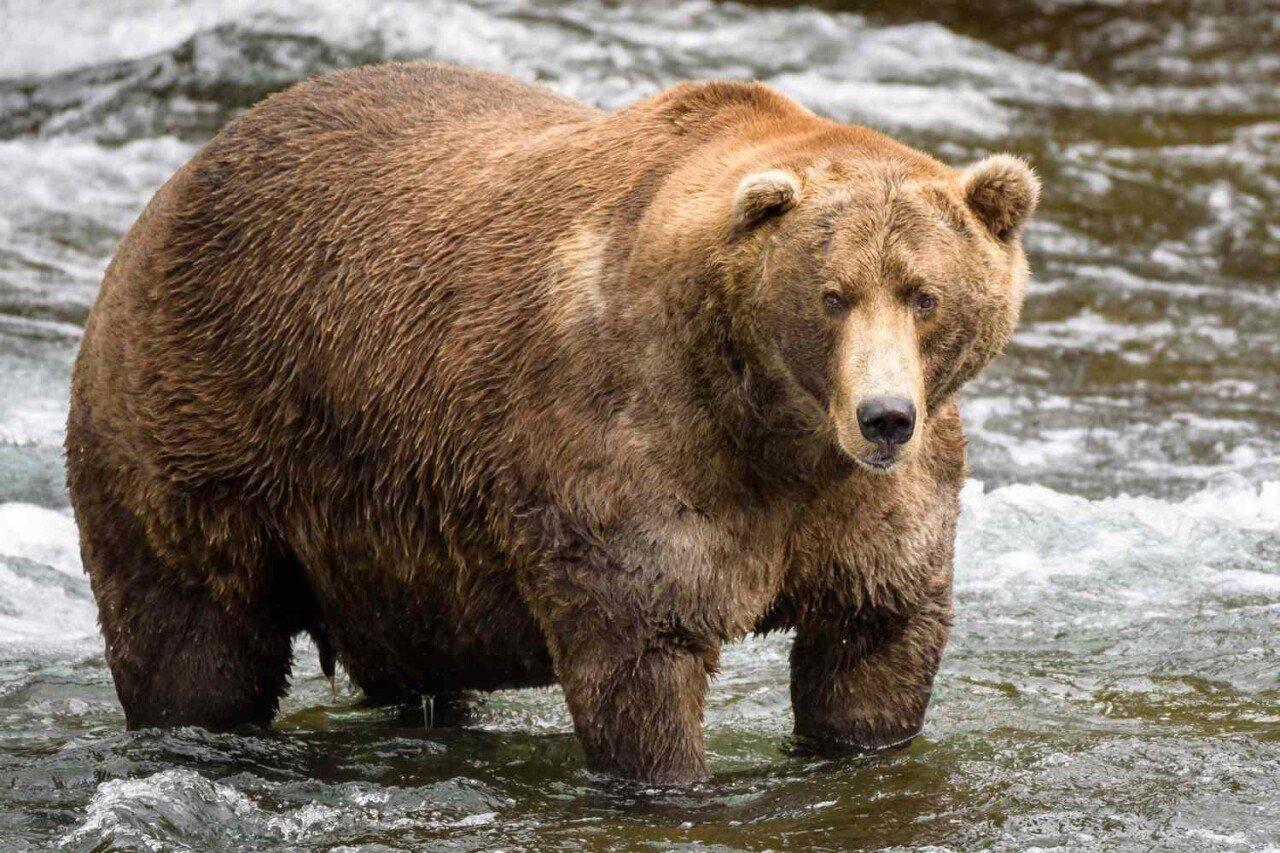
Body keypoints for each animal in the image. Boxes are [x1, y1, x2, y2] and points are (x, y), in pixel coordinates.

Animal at [64, 59, 1034, 778]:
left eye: (924, 294)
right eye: (832, 295)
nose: (884, 417)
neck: (773, 428)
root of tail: (171, 189)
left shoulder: (870, 506)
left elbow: (874, 645)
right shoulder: (631, 440)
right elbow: (640, 650)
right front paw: (668, 775)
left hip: (384, 541)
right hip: (202, 425)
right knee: (194, 639)